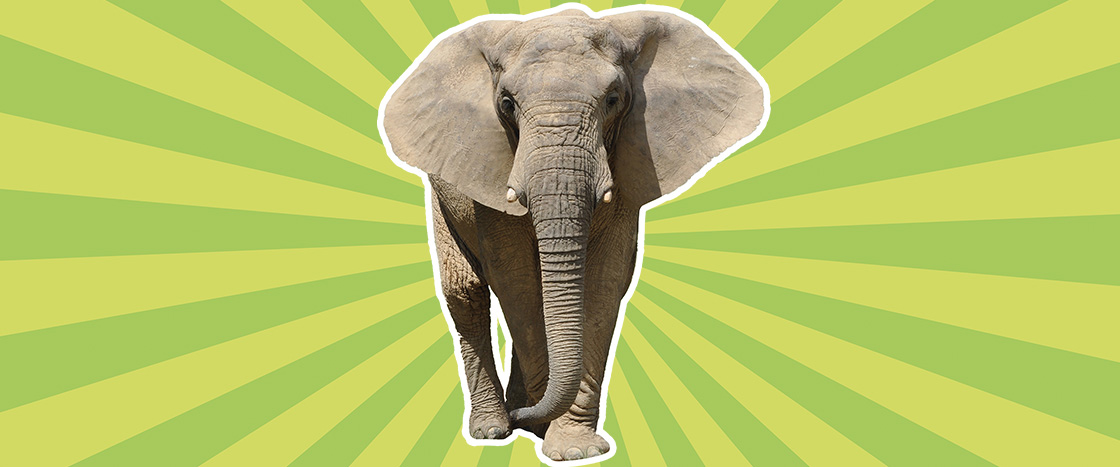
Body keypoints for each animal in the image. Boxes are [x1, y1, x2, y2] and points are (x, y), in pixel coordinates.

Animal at [379, 5, 767, 462]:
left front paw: (573, 448)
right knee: (467, 292)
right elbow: (516, 281)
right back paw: (495, 428)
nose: (521, 417)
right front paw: (545, 431)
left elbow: (603, 281)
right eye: (506, 103)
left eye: (613, 100)